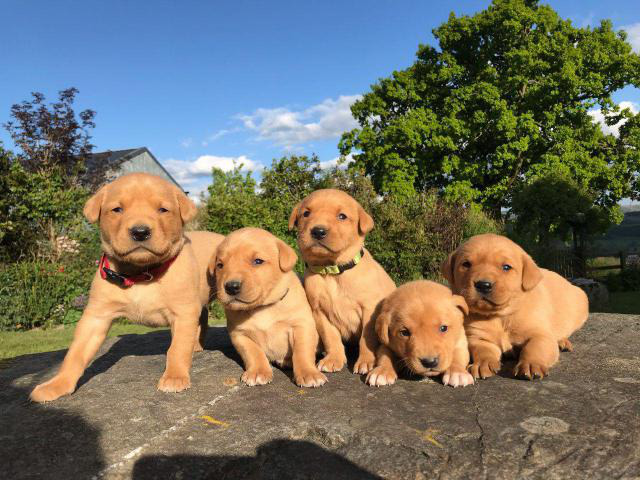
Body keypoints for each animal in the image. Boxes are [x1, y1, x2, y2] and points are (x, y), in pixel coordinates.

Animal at [30, 172, 225, 402]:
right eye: (117, 209)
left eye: (162, 210)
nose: (140, 232)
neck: (141, 274)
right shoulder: (96, 316)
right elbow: (75, 353)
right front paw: (58, 383)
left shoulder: (183, 312)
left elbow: (176, 348)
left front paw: (175, 377)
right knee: (202, 318)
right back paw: (196, 345)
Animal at [212, 227, 328, 388]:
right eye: (220, 265)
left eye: (257, 261)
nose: (231, 287)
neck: (262, 308)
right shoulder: (239, 335)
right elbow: (253, 353)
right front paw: (258, 372)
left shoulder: (302, 326)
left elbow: (302, 351)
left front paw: (308, 373)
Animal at [288, 188, 396, 376]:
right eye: (306, 214)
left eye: (342, 216)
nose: (318, 231)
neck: (333, 272)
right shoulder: (319, 311)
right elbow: (331, 337)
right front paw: (333, 359)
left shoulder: (369, 309)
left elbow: (366, 339)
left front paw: (366, 361)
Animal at [442, 234, 588, 380]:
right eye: (466, 264)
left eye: (506, 267)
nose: (483, 285)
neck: (500, 316)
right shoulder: (478, 338)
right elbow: (483, 350)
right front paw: (483, 364)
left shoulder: (540, 334)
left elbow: (535, 348)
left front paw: (531, 364)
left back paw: (563, 341)